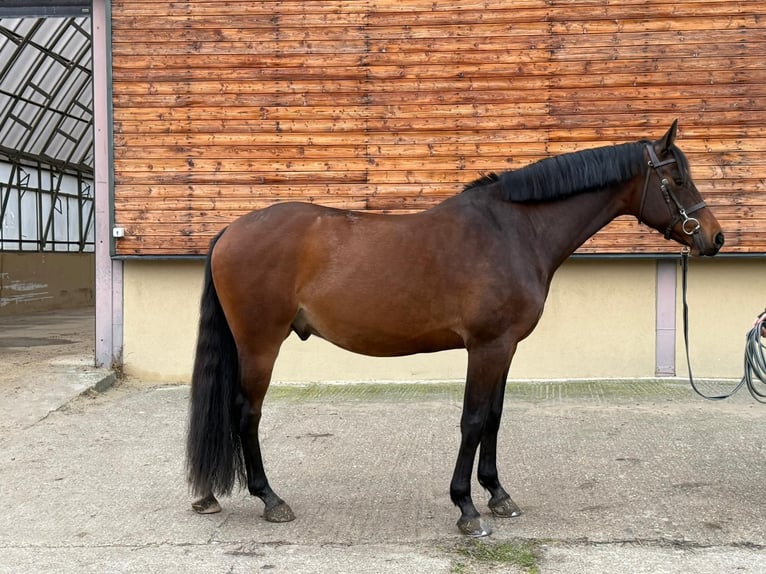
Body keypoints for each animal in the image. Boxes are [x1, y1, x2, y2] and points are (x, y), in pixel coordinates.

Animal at [185, 121, 724, 537]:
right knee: (246, 413)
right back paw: (271, 500)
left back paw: (211, 495)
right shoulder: (485, 348)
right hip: (260, 345)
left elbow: (494, 419)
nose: (715, 239)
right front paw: (466, 508)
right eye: (677, 178)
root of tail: (232, 229)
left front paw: (498, 495)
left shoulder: (504, 349)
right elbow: (472, 420)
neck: (513, 232)